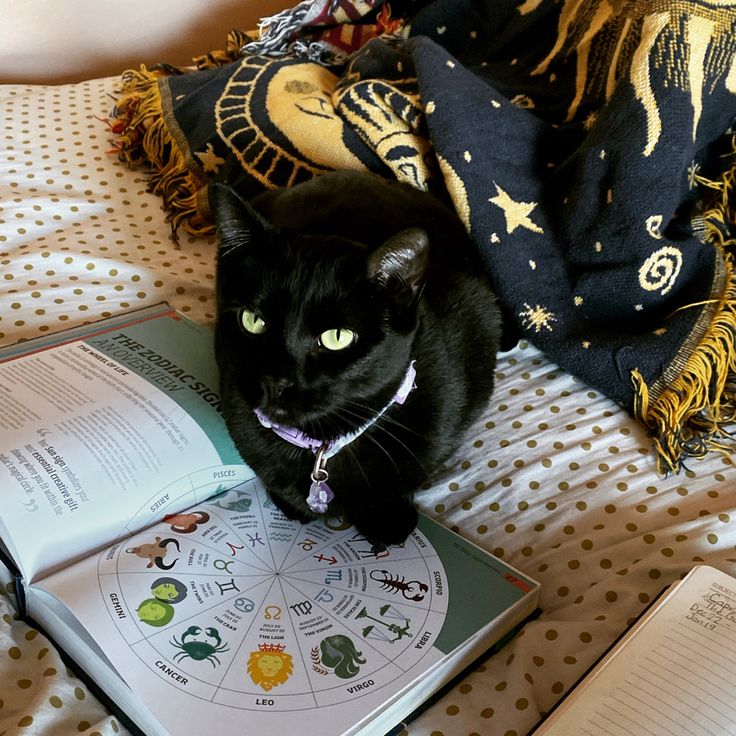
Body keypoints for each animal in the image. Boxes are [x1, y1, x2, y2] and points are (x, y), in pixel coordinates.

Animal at [210, 171, 504, 548]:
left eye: (337, 337)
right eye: (252, 320)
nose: (276, 380)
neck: (322, 447)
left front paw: (388, 518)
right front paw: (293, 504)